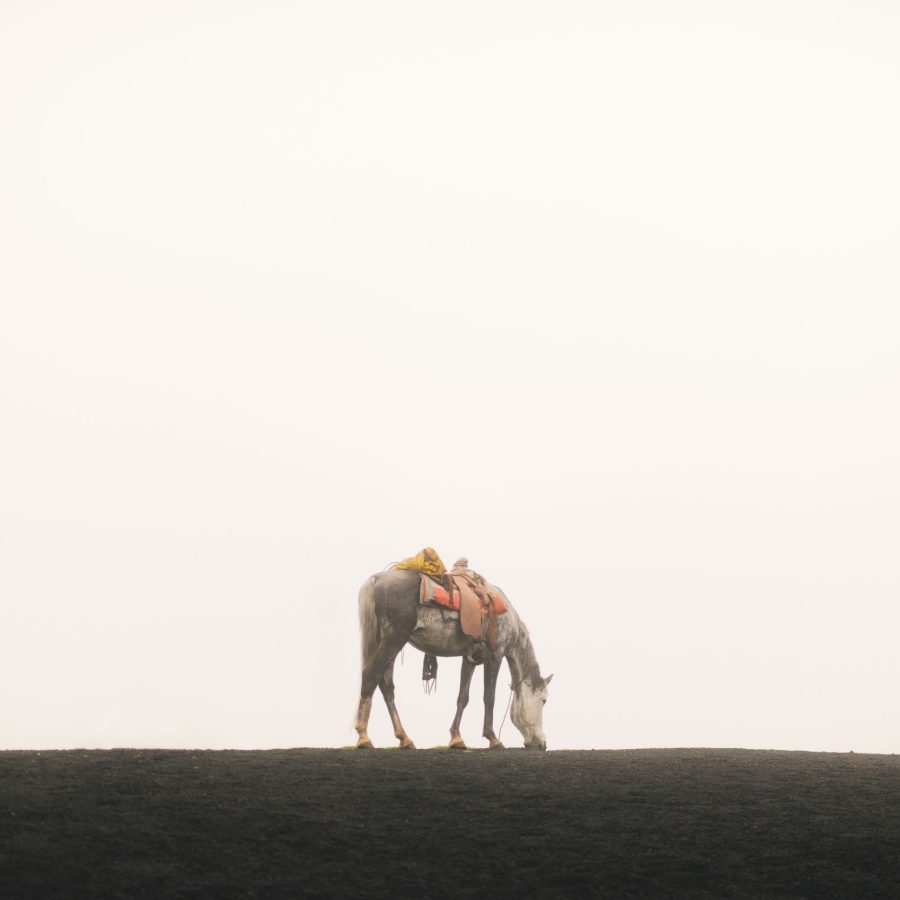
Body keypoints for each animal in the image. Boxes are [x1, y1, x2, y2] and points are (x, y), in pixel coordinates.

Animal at [354, 567, 552, 750]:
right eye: (544, 700)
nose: (542, 744)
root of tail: (377, 579)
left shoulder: (470, 659)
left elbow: (463, 697)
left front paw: (456, 737)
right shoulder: (495, 655)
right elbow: (489, 697)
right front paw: (493, 738)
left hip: (388, 644)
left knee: (386, 687)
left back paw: (404, 738)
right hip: (393, 640)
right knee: (370, 677)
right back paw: (364, 737)